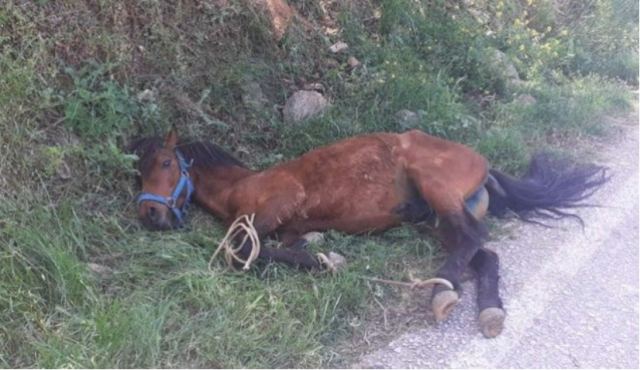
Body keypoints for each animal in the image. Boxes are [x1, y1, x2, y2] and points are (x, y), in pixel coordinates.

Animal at [131, 128, 608, 338]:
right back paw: (488, 310)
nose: (150, 215)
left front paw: (332, 261)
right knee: (480, 252)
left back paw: (442, 293)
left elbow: (243, 251)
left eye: (167, 164)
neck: (241, 184)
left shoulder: (277, 206)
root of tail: (483, 164)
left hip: (437, 192)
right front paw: (324, 257)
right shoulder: (287, 231)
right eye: (139, 171)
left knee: (475, 239)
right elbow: (277, 250)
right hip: (435, 220)